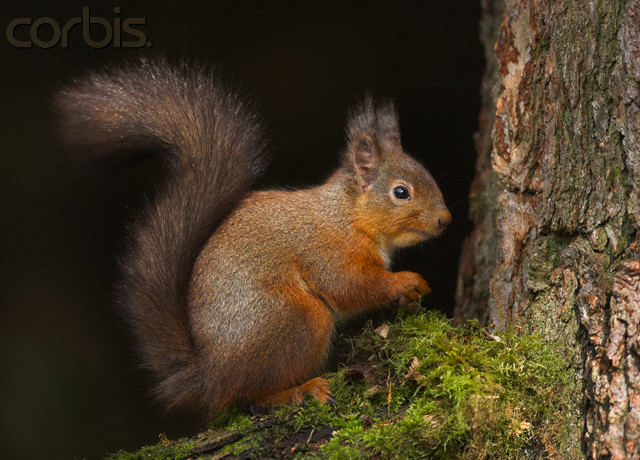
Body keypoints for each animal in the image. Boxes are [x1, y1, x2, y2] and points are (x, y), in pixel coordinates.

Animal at [57, 58, 452, 416]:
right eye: (401, 193)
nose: (445, 220)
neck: (348, 216)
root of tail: (211, 376)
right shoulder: (329, 249)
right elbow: (351, 285)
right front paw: (407, 282)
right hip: (295, 317)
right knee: (249, 396)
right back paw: (298, 391)